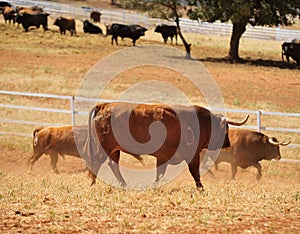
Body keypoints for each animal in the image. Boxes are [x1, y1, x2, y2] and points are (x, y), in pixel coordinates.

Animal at [85, 101, 247, 189]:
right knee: (97, 162)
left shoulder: (163, 157)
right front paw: (201, 188)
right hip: (104, 147)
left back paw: (122, 184)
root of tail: (104, 105)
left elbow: (160, 173)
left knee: (113, 165)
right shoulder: (192, 156)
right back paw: (92, 183)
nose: (228, 143)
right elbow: (195, 173)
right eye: (226, 129)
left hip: (114, 149)